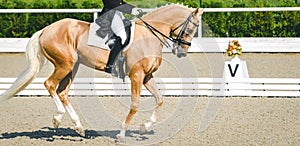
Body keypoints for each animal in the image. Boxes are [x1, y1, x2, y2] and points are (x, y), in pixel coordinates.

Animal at [0, 4, 204, 141]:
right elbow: (135, 105)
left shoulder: (147, 76)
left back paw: (79, 127)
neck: (149, 35)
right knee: (50, 85)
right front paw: (121, 134)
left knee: (62, 92)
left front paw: (144, 128)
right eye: (191, 27)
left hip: (72, 67)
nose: (182, 52)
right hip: (64, 64)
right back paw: (58, 118)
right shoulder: (137, 75)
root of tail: (46, 29)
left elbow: (160, 99)